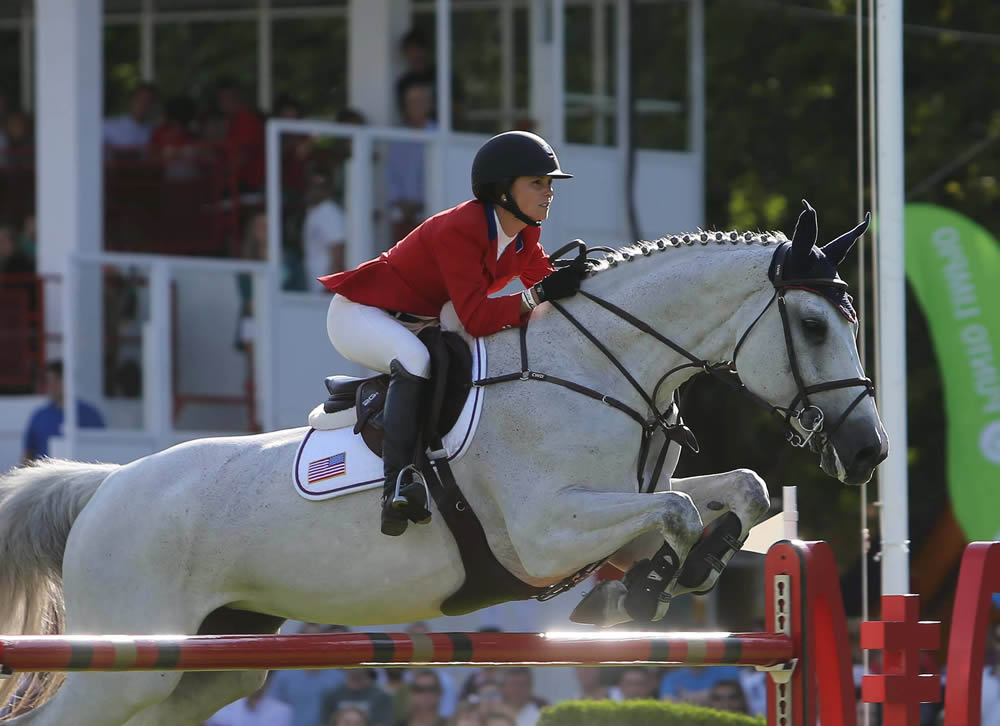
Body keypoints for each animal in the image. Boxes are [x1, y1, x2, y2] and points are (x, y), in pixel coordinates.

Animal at [0, 203, 888, 726]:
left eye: (847, 319)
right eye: (814, 325)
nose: (869, 450)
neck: (599, 367)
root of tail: (105, 487)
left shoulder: (620, 498)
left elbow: (740, 488)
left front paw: (672, 573)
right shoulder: (544, 533)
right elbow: (674, 512)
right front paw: (640, 593)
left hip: (207, 667)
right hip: (125, 665)